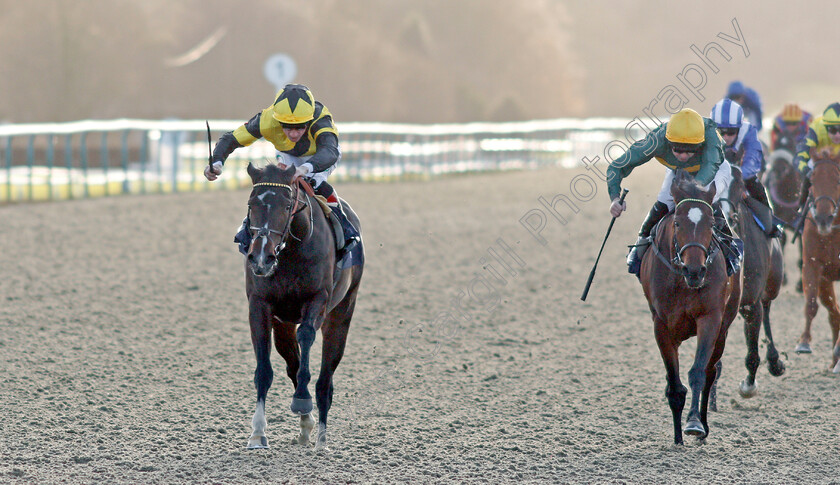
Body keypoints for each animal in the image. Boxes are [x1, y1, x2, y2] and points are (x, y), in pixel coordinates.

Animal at [241, 161, 362, 448]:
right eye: (251, 204)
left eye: (287, 206)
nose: (260, 257)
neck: (290, 252)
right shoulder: (260, 306)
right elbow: (265, 370)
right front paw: (258, 432)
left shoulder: (318, 299)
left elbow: (306, 335)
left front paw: (302, 400)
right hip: (283, 324)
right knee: (292, 364)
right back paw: (307, 426)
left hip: (342, 311)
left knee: (325, 380)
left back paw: (321, 439)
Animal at [644, 169, 740, 442]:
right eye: (677, 223)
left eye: (710, 223)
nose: (695, 270)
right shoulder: (662, 325)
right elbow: (674, 384)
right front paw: (678, 437)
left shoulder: (711, 319)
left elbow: (698, 372)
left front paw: (695, 423)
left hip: (724, 327)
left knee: (710, 371)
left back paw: (703, 427)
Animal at [720, 164, 788, 398]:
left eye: (739, 184)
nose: (726, 217)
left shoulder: (751, 302)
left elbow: (752, 355)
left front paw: (748, 386)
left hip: (773, 282)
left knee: (766, 308)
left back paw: (775, 361)